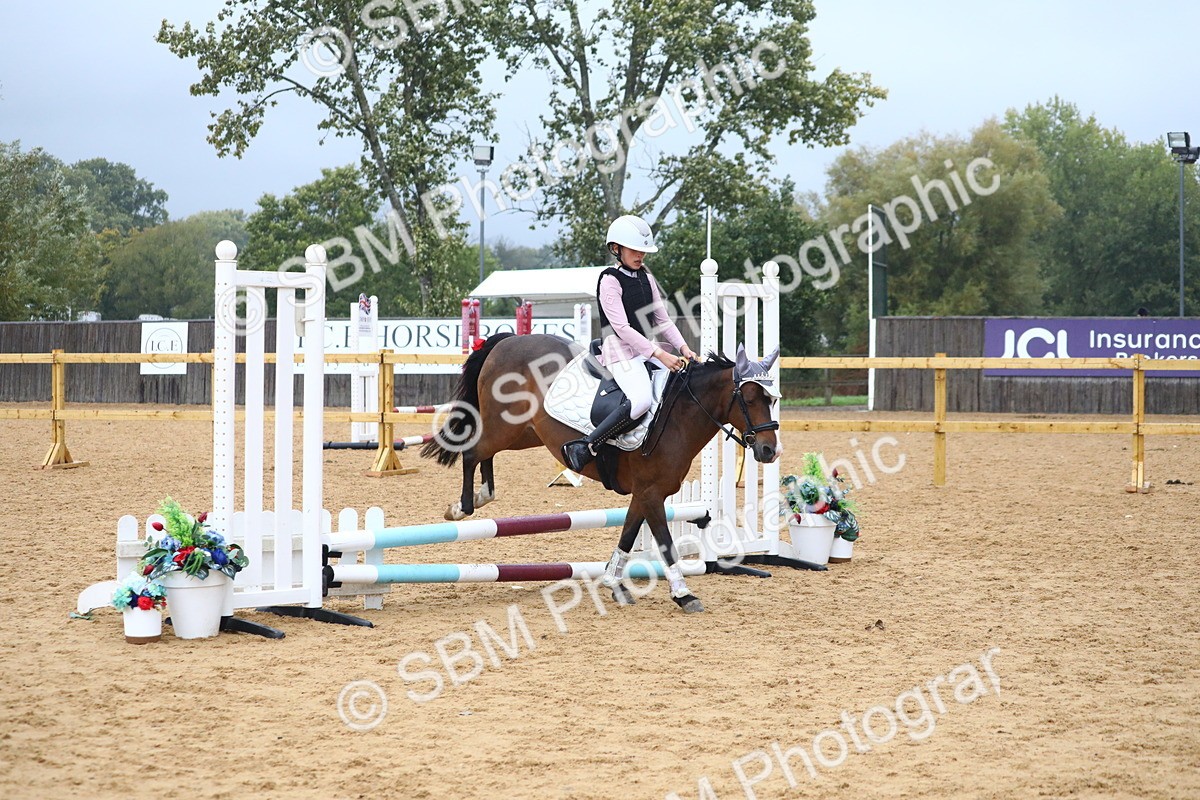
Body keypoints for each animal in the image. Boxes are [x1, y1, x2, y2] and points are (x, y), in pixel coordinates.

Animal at [421, 332, 781, 613]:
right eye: (749, 398)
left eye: (772, 399)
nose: (770, 451)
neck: (680, 412)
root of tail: (506, 341)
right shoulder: (651, 495)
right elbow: (665, 545)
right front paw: (683, 594)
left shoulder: (645, 493)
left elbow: (628, 535)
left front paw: (614, 583)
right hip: (504, 428)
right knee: (472, 451)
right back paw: (463, 506)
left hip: (521, 434)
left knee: (485, 454)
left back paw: (484, 495)